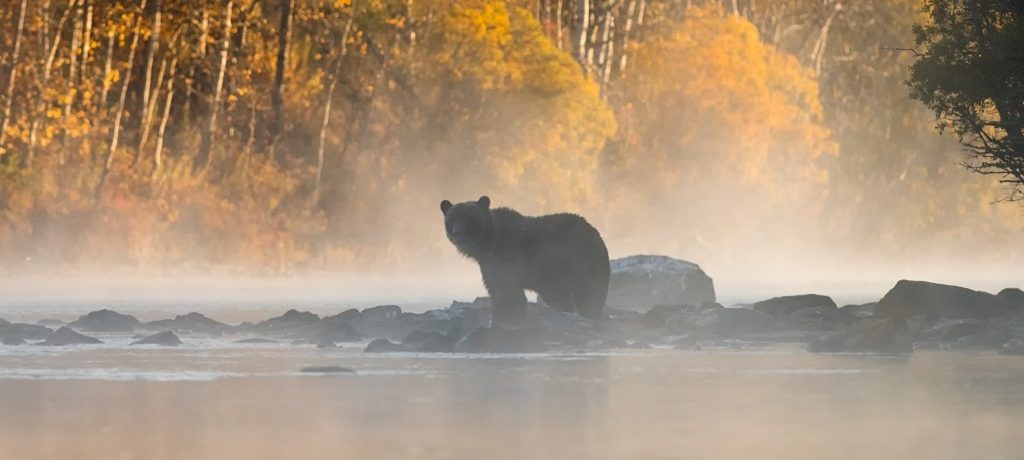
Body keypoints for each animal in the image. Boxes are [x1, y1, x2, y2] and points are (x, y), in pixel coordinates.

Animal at [438, 195, 606, 323]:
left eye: (469, 218)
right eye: (451, 219)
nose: (457, 232)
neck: (488, 243)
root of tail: (595, 232)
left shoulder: (505, 257)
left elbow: (507, 292)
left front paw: (505, 319)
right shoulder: (488, 264)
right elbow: (496, 288)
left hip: (580, 263)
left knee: (589, 293)